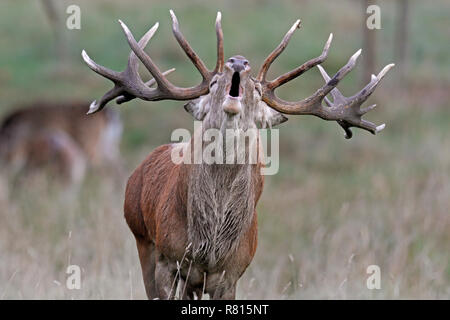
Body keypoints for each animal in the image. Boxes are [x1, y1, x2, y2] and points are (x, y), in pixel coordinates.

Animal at [83, 10, 394, 300]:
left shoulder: (232, 273)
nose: (238, 62)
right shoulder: (167, 259)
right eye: (213, 84)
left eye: (256, 90)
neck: (210, 246)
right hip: (141, 238)